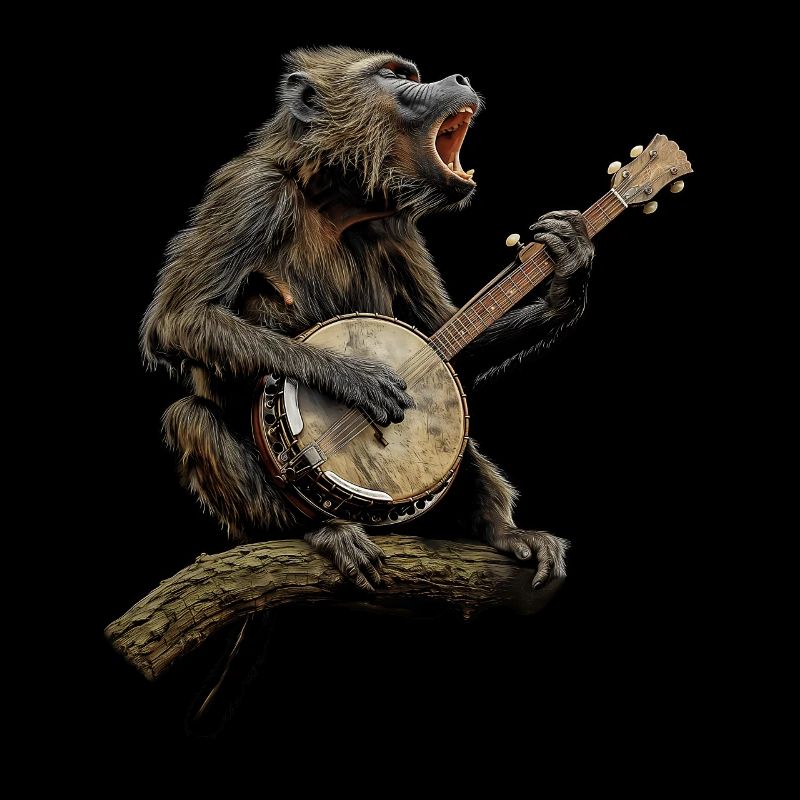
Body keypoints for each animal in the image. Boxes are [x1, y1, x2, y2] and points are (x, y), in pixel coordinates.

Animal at [141, 46, 594, 593]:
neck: (334, 200)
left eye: (411, 74)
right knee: (190, 417)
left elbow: (448, 333)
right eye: (394, 76)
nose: (459, 78)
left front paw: (567, 268)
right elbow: (182, 316)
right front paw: (359, 380)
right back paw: (321, 530)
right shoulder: (249, 192)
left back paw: (503, 531)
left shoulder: (398, 226)